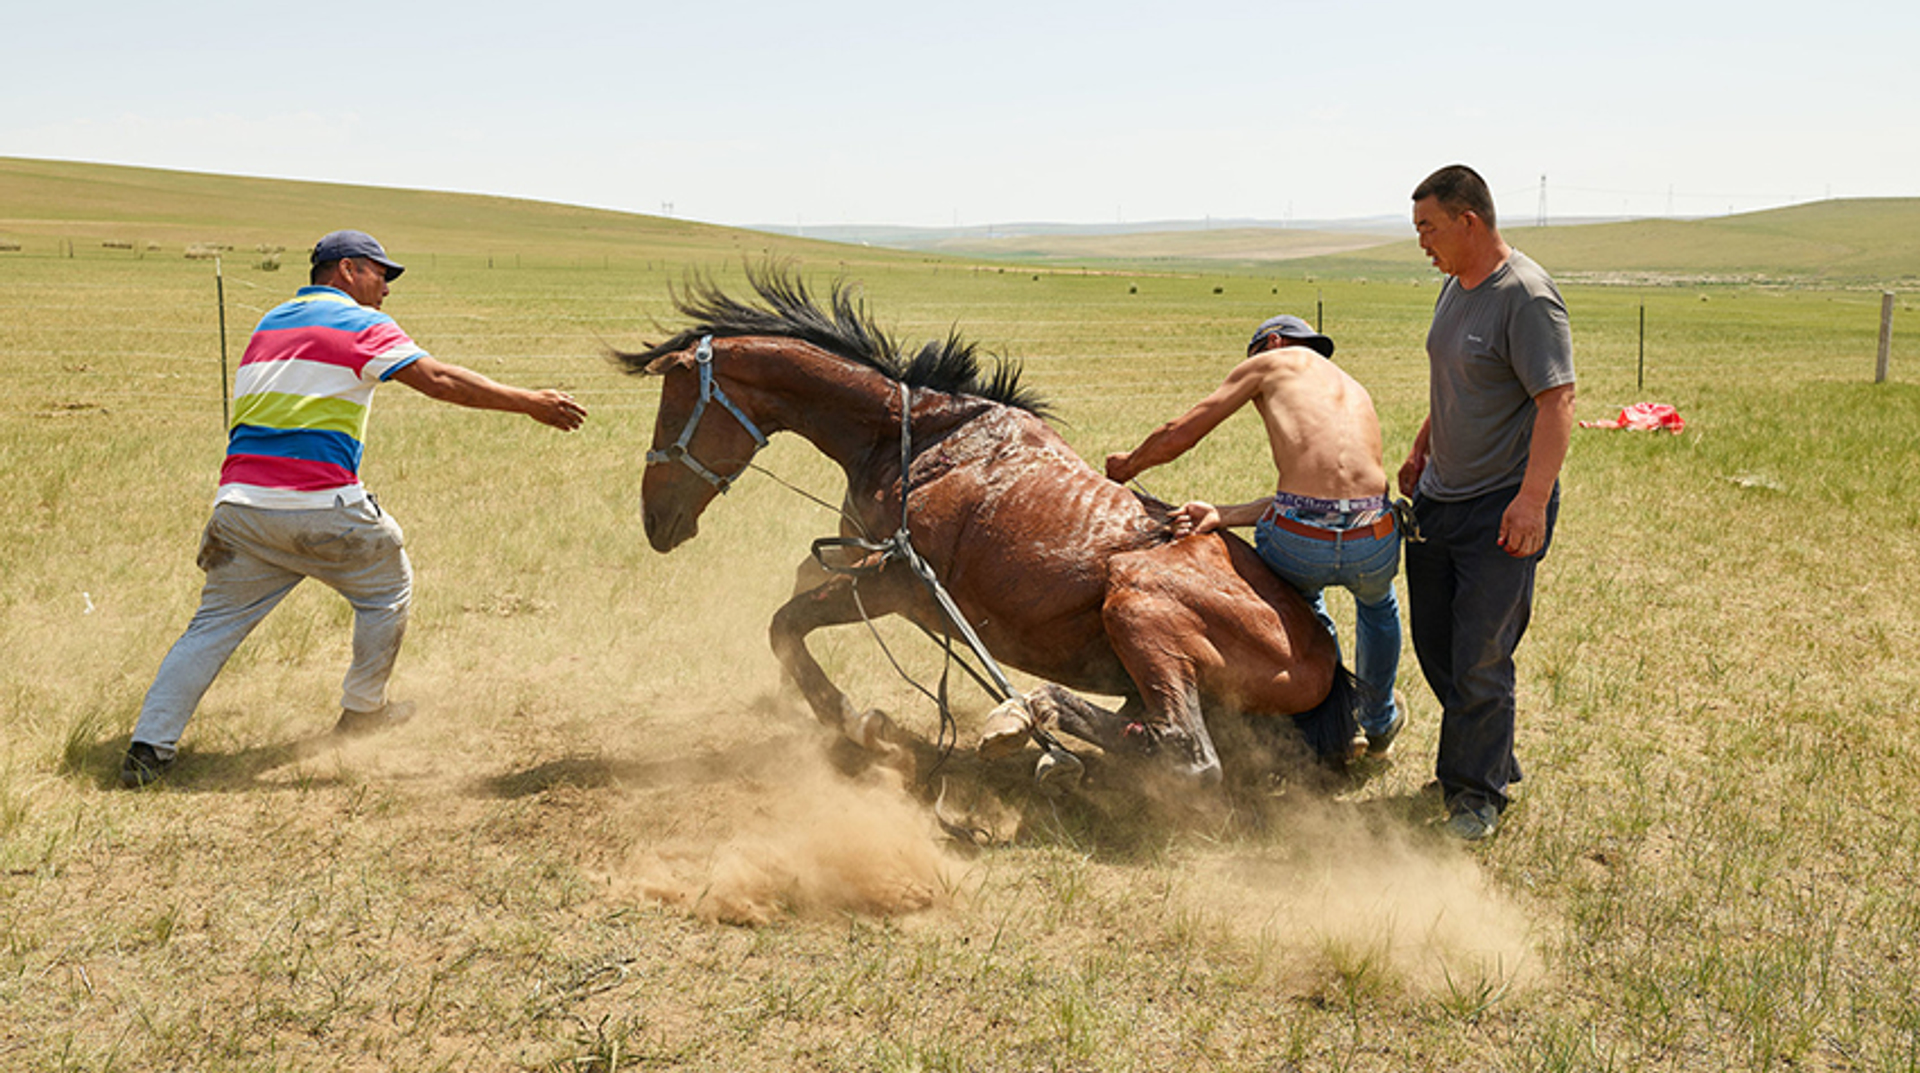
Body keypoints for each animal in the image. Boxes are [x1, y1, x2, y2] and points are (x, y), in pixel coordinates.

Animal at [614, 268, 1351, 790]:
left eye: (673, 406)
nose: (653, 519)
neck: (914, 439)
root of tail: (1323, 654)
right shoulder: (859, 559)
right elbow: (797, 594)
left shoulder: (897, 583)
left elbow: (786, 622)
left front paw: (862, 726)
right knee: (1149, 731)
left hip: (1137, 600)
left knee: (1188, 755)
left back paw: (1032, 715)